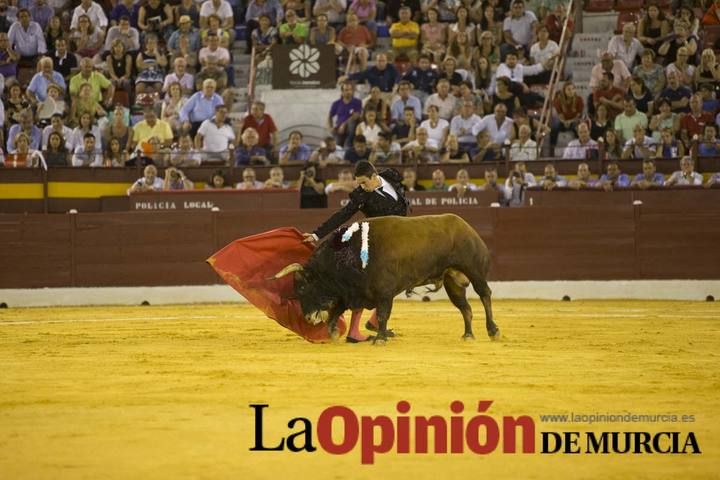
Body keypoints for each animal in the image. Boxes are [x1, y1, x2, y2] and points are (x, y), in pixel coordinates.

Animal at [272, 214, 500, 342]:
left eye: (302, 287)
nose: (308, 318)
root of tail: (468, 228)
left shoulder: (384, 293)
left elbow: (382, 314)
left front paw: (380, 338)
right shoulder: (350, 291)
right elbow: (336, 311)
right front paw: (333, 333)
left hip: (474, 271)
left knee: (484, 295)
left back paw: (493, 330)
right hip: (452, 281)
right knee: (465, 308)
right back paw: (468, 335)